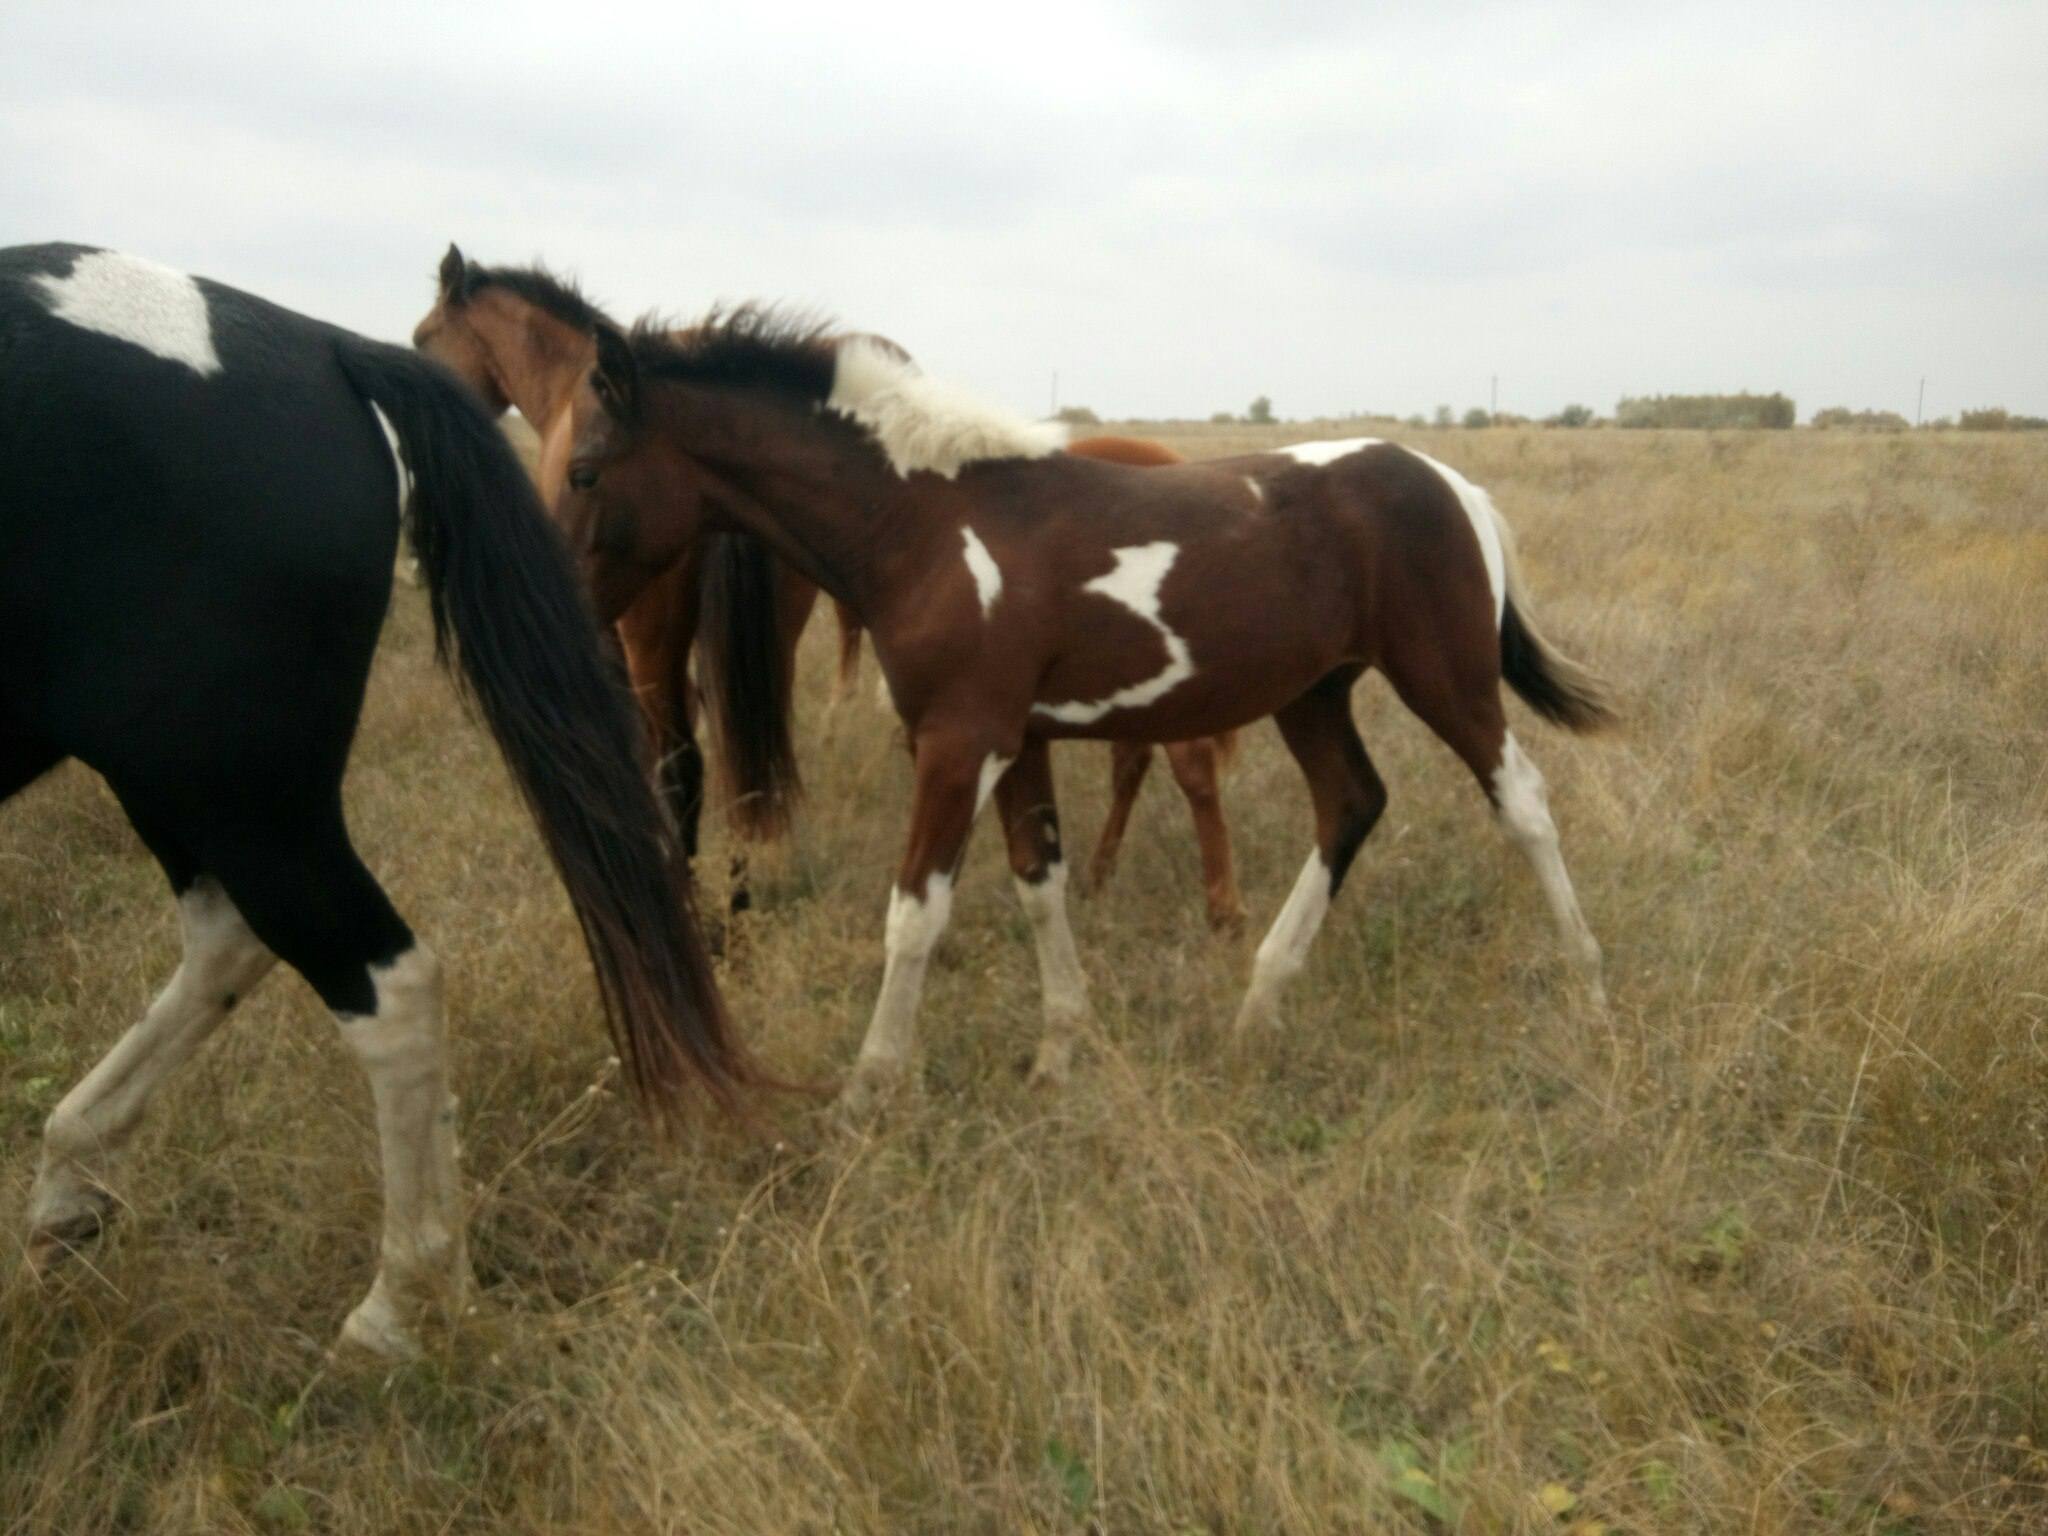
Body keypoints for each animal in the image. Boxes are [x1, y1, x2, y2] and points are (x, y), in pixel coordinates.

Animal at [0, 243, 753, 1359]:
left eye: (433, 328)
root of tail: (322, 348)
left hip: (230, 783)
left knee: (383, 980)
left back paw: (399, 1308)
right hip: (182, 781)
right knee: (233, 942)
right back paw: (70, 1197)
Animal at [561, 313, 1613, 1122]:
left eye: (581, 474)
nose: (562, 609)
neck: (932, 526)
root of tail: (1450, 482)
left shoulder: (958, 744)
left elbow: (914, 915)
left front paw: (867, 1093)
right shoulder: (1016, 741)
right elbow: (1040, 884)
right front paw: (1058, 1055)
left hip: (1447, 679)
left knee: (1522, 802)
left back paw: (1587, 983)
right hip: (1313, 694)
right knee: (1350, 803)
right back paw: (1257, 1008)